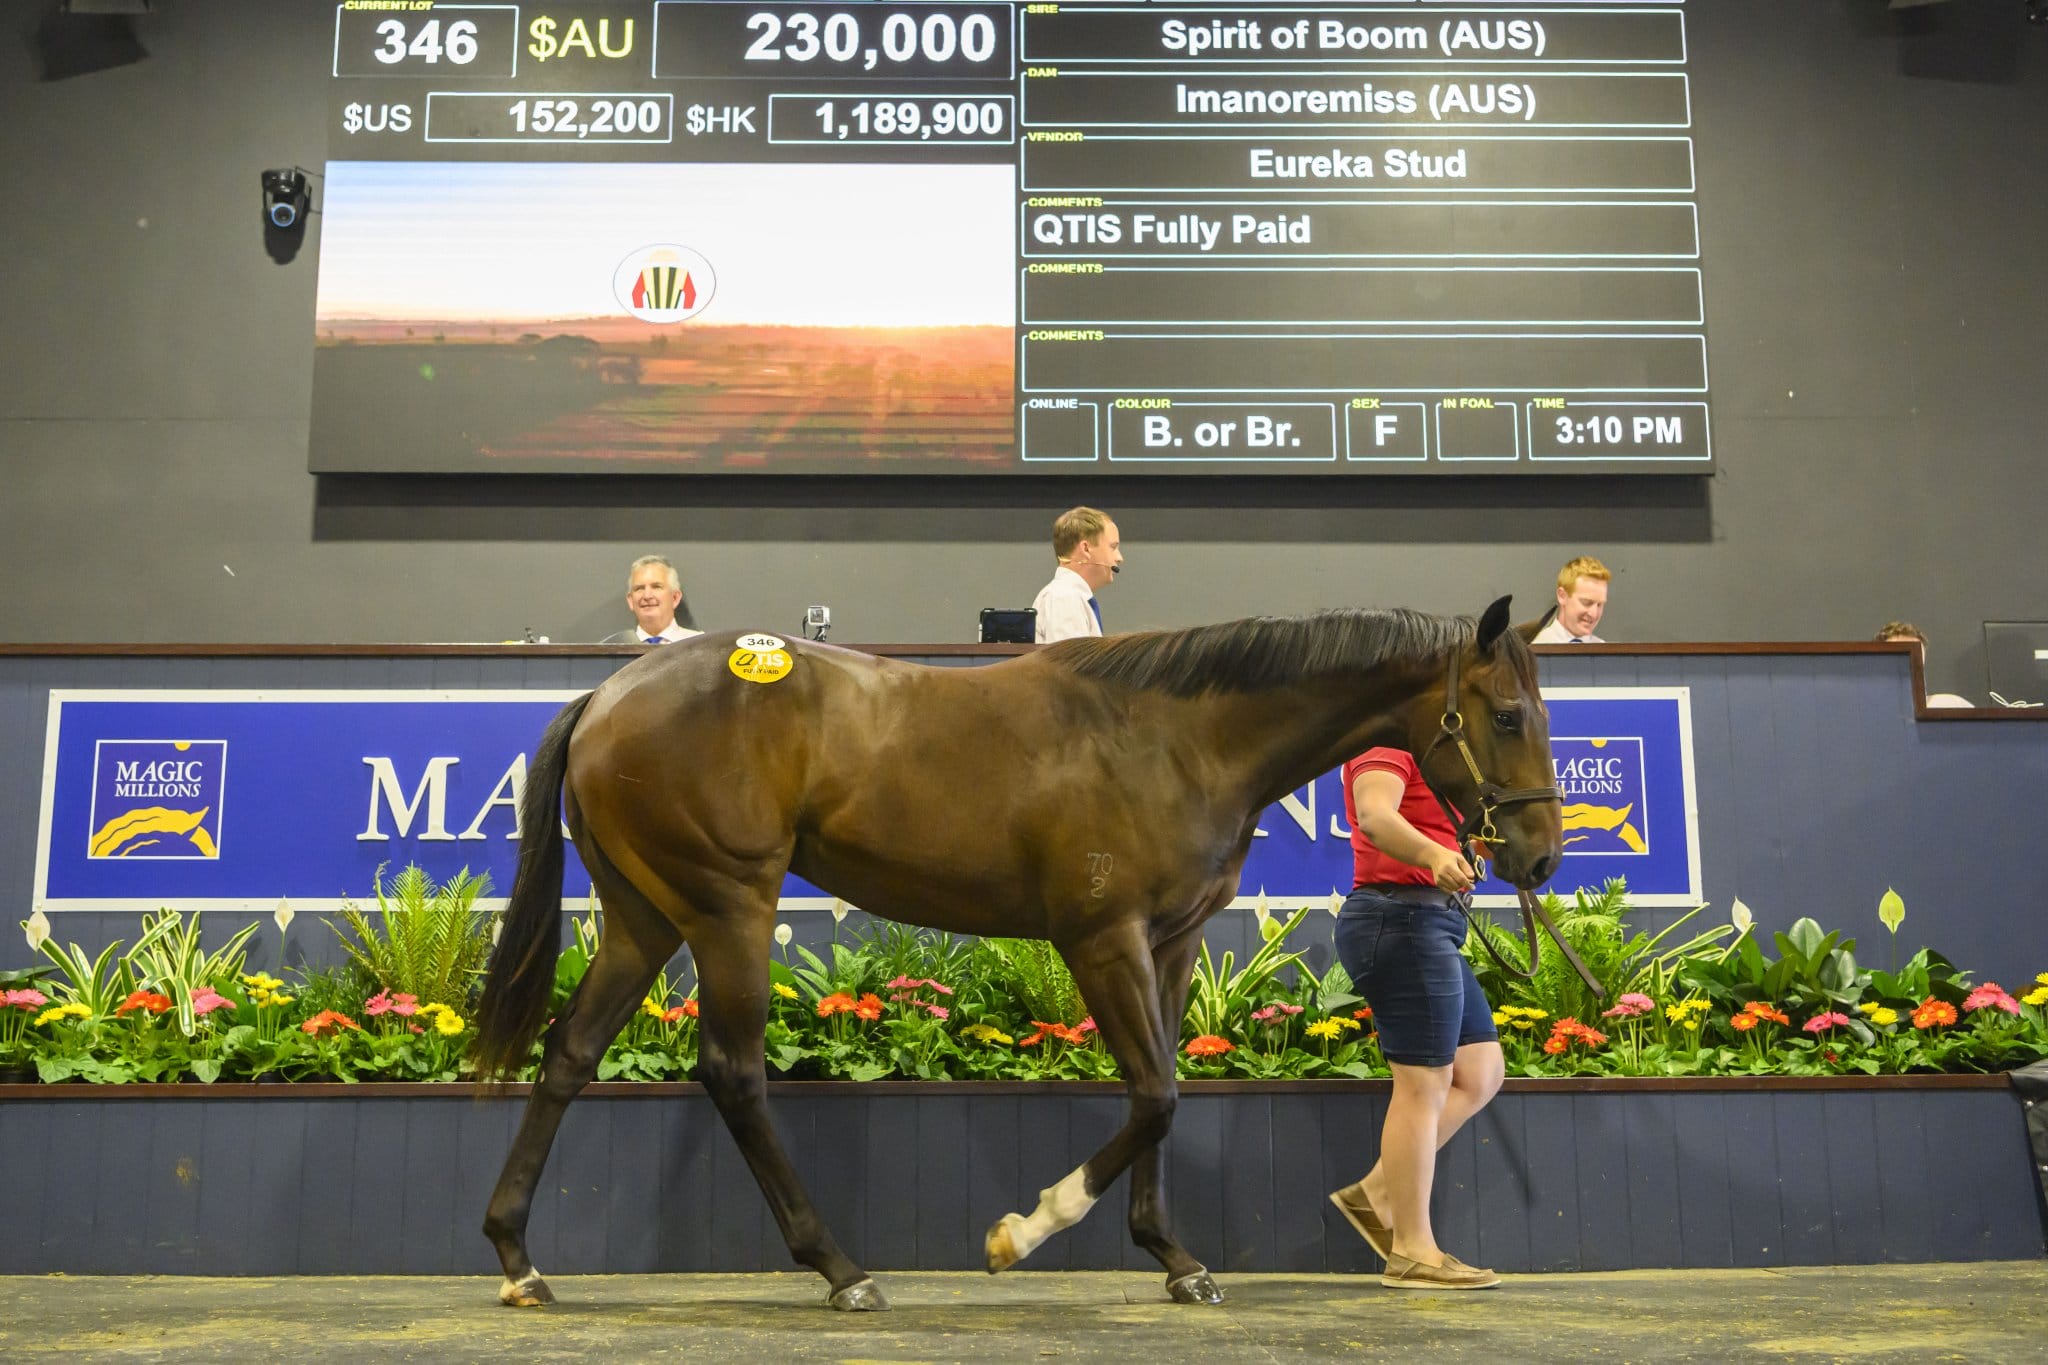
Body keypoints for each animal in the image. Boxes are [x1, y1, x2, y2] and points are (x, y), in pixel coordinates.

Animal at [475, 593, 1564, 1309]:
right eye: (1508, 715)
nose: (1538, 854)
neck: (1176, 737)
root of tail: (610, 693)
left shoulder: (1169, 944)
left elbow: (1164, 1089)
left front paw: (1176, 1260)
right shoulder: (1101, 940)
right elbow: (1153, 1097)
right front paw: (1022, 1230)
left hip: (645, 916)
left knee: (569, 1054)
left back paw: (520, 1260)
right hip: (729, 906)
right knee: (733, 1072)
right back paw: (841, 1270)